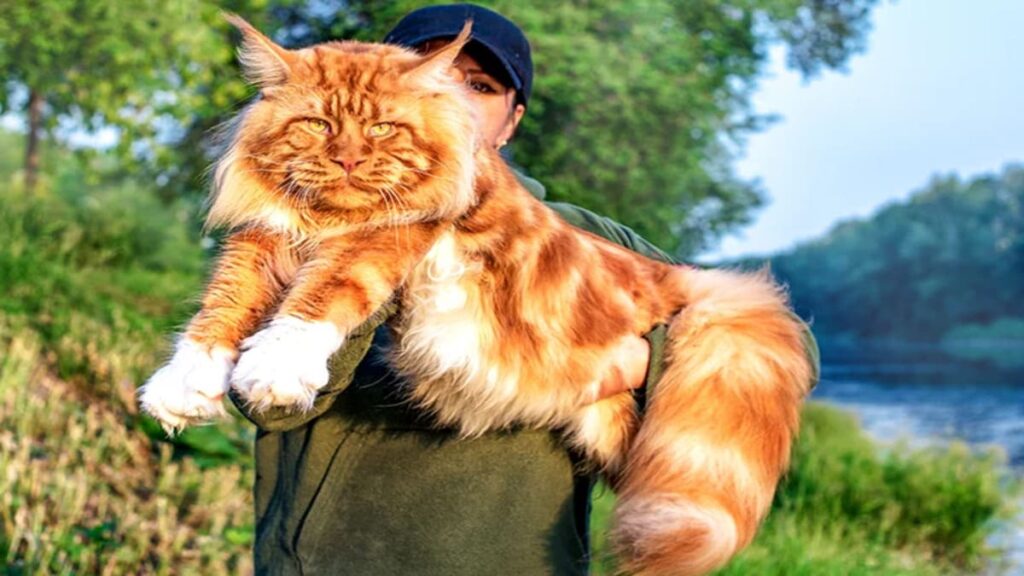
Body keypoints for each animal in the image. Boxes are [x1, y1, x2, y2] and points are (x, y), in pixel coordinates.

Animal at [140, 17, 815, 573]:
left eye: (382, 128)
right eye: (318, 125)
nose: (350, 161)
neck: (330, 220)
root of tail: (680, 275)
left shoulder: (391, 232)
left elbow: (319, 300)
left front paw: (275, 369)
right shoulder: (262, 239)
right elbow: (222, 307)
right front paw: (184, 385)